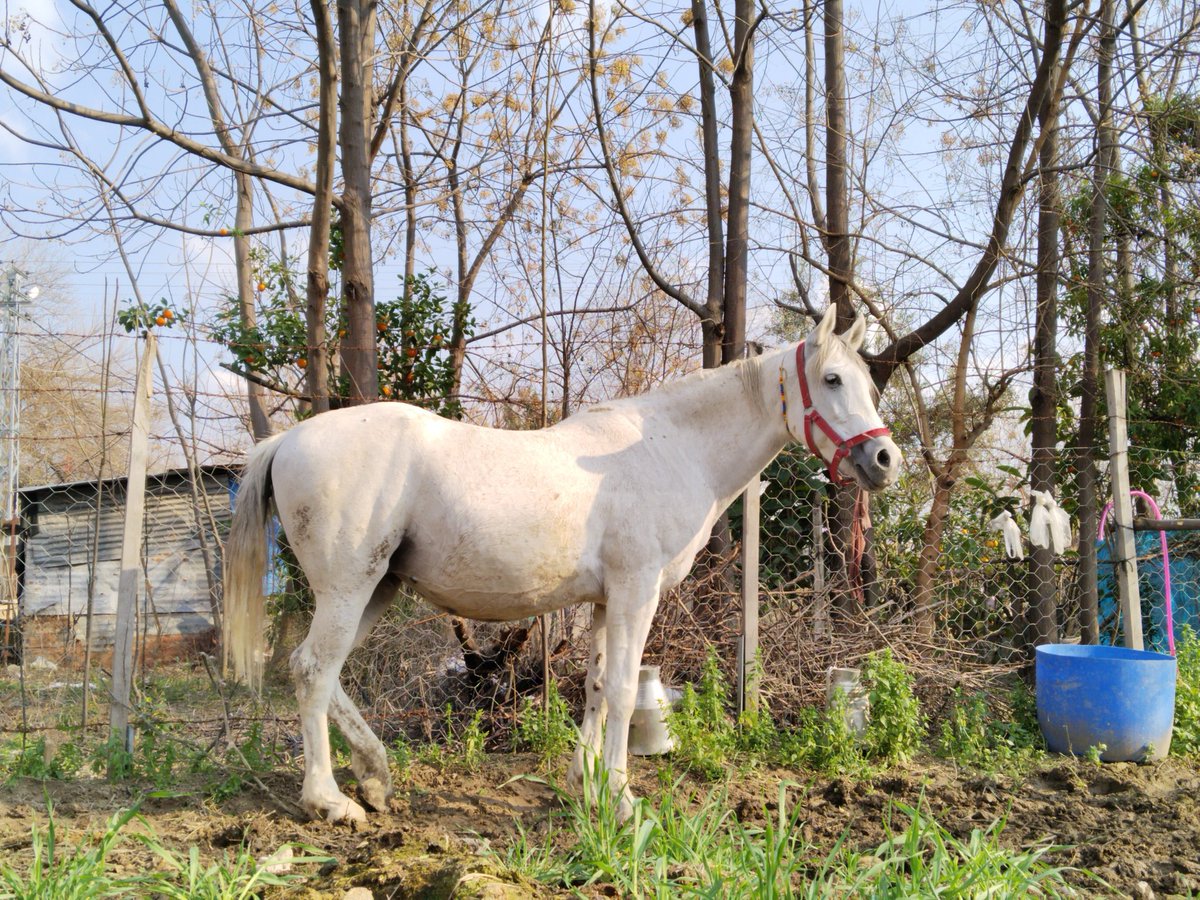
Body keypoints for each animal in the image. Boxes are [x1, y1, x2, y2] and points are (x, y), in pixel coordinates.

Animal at [223, 309, 902, 825]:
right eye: (833, 379)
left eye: (869, 385)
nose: (885, 459)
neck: (670, 448)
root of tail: (285, 441)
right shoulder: (635, 592)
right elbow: (624, 691)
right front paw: (623, 802)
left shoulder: (604, 601)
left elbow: (598, 687)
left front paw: (588, 786)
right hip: (348, 588)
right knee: (313, 671)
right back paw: (329, 801)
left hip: (376, 590)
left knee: (320, 672)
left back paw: (375, 776)